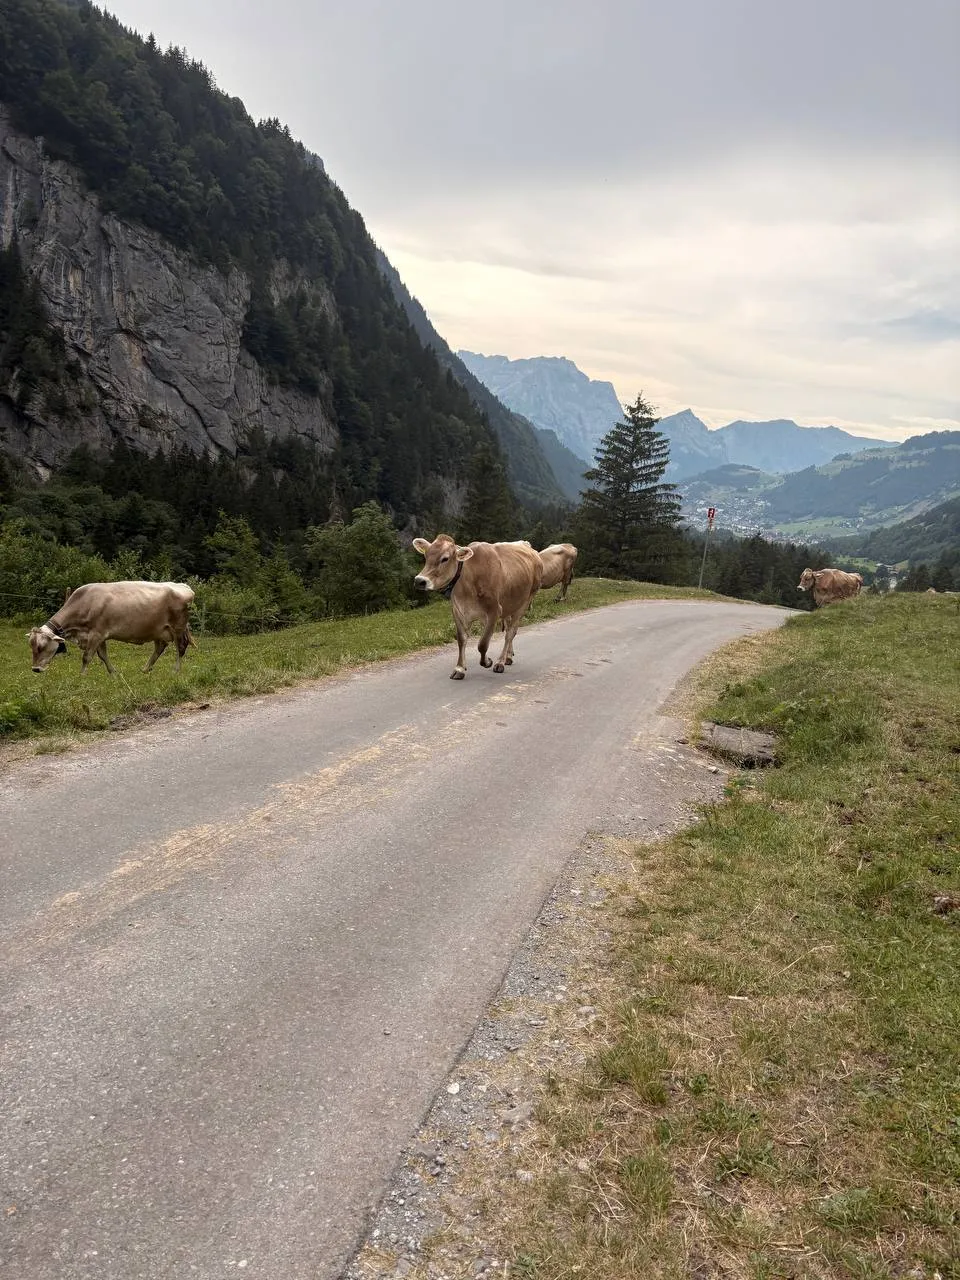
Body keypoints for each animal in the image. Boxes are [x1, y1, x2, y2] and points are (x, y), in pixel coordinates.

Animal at [28, 581, 195, 675]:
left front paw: (81, 676)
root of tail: (182, 585)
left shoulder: (96, 634)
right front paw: (113, 673)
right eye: (32, 647)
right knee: (160, 647)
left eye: (41, 646)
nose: (35, 669)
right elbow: (103, 655)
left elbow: (87, 657)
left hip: (178, 627)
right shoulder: (99, 636)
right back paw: (145, 669)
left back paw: (175, 671)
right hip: (158, 630)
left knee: (181, 648)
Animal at [412, 535, 542, 679]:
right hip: (510, 604)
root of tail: (528, 547)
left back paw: (500, 662)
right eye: (426, 556)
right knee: (509, 628)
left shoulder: (494, 611)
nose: (419, 581)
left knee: (510, 633)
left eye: (445, 558)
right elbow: (462, 639)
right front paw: (459, 668)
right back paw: (508, 657)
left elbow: (483, 643)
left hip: (525, 602)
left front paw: (487, 662)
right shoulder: (458, 611)